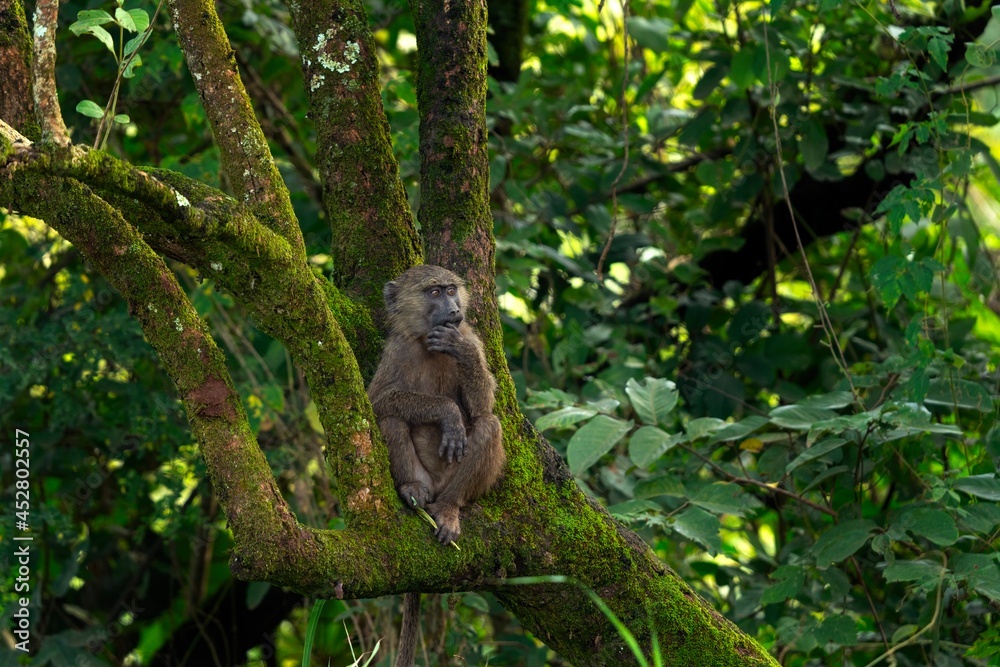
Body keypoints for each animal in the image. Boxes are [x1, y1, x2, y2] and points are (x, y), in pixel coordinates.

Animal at [367, 264, 505, 667]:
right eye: (433, 293)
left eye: (451, 290)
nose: (454, 310)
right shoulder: (397, 349)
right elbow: (377, 401)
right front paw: (448, 415)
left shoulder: (473, 338)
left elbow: (483, 407)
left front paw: (459, 350)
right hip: (424, 474)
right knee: (391, 419)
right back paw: (414, 490)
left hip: (463, 484)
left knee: (490, 425)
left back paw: (447, 510)